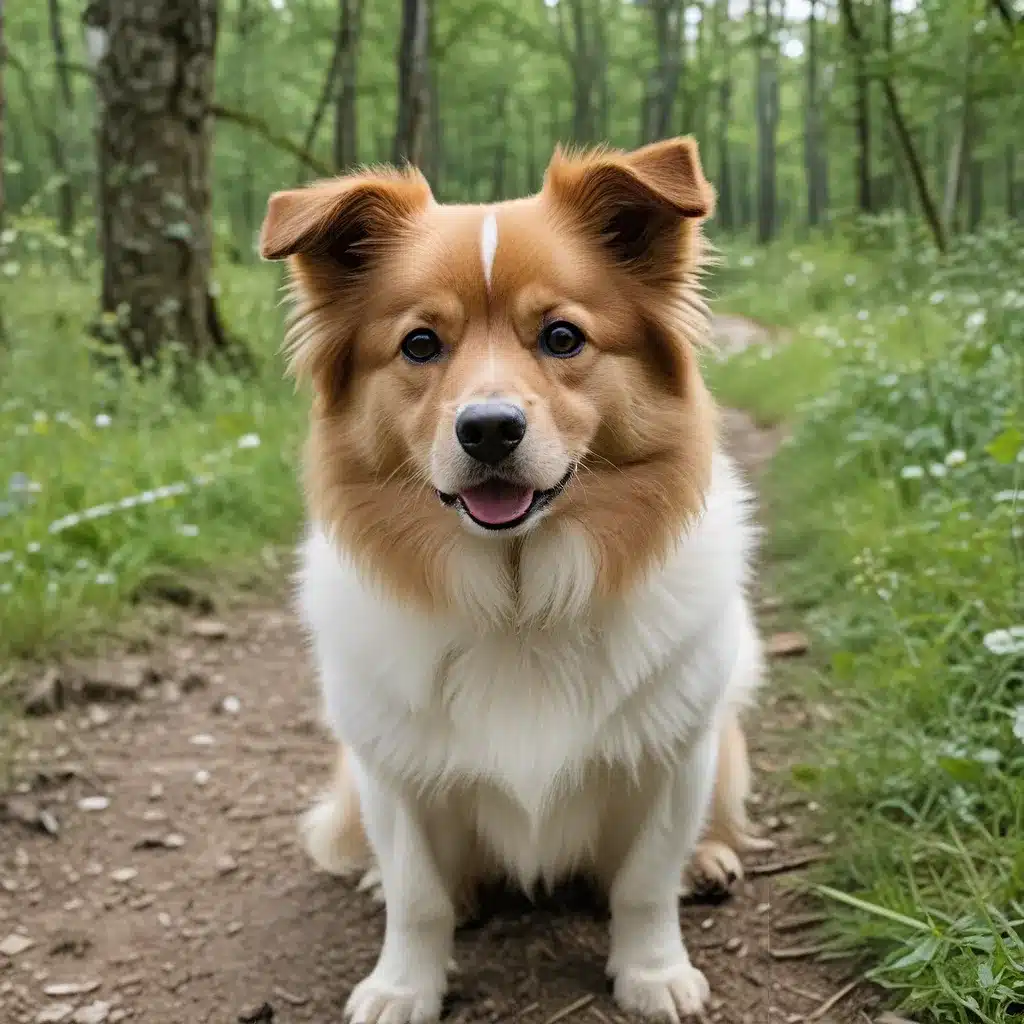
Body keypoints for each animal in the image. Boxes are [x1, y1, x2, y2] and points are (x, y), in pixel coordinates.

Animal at [262, 138, 770, 1024]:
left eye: (562, 337)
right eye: (420, 345)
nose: (490, 429)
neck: (519, 597)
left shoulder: (672, 757)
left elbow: (645, 882)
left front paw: (652, 972)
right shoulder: (392, 771)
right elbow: (418, 896)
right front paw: (403, 986)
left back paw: (710, 860)